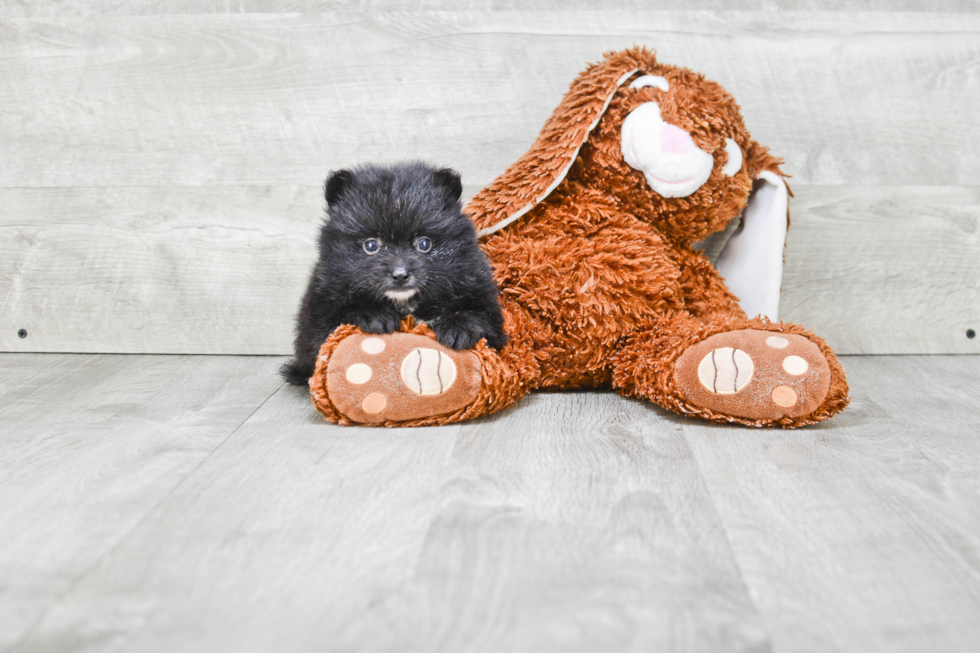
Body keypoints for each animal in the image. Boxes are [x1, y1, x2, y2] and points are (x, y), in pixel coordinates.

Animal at [278, 161, 502, 384]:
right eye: (371, 245)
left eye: (424, 244)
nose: (400, 274)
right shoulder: (324, 299)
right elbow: (331, 328)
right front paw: (373, 315)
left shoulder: (477, 286)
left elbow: (481, 317)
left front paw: (458, 327)